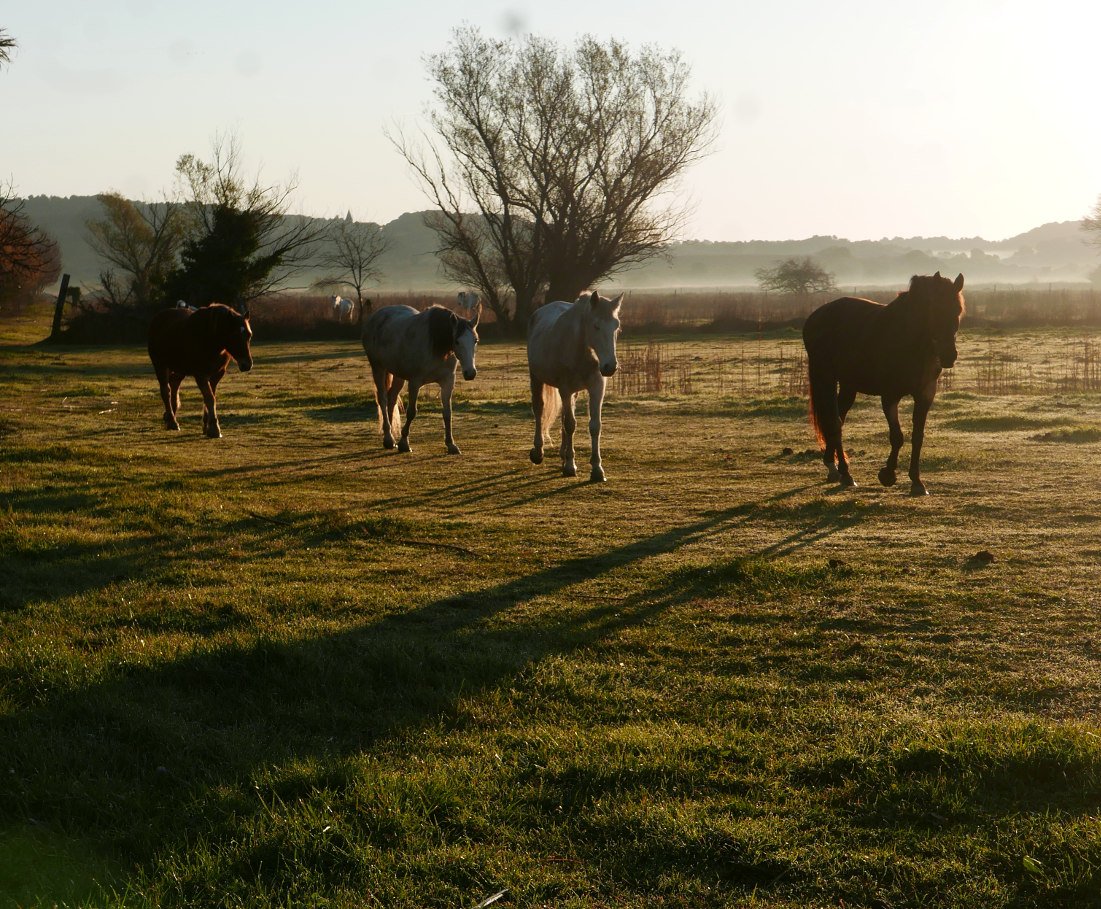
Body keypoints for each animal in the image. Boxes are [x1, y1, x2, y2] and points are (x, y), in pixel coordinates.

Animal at [148, 302, 253, 439]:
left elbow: (210, 397)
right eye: (234, 335)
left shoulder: (216, 375)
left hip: (180, 370)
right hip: (160, 365)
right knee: (166, 391)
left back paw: (170, 415)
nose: (247, 365)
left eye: (249, 335)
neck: (209, 340)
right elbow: (210, 398)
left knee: (174, 384)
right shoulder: (201, 375)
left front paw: (206, 426)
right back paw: (172, 421)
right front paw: (214, 429)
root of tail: (157, 318)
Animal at [362, 303, 481, 454]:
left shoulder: (447, 382)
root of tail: (376, 316)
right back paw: (388, 439)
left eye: (475, 340)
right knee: (382, 400)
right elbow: (412, 412)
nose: (470, 373)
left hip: (398, 374)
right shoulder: (415, 382)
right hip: (378, 368)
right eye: (457, 341)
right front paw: (404, 443)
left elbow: (447, 413)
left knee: (391, 399)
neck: (436, 346)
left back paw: (391, 437)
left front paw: (451, 444)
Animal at [527, 290, 623, 482]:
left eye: (616, 326)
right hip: (536, 378)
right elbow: (570, 424)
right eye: (596, 326)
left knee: (564, 414)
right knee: (539, 410)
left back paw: (563, 454)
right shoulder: (565, 389)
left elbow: (595, 426)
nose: (610, 367)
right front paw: (570, 467)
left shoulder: (596, 388)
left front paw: (597, 469)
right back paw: (538, 452)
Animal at [802, 272, 965, 495]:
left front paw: (917, 482)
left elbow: (917, 437)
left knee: (838, 420)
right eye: (936, 309)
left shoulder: (925, 395)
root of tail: (815, 317)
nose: (949, 355)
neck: (909, 342)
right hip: (825, 377)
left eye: (958, 311)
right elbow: (897, 437)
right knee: (834, 422)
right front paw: (888, 475)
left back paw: (834, 467)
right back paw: (845, 473)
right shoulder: (890, 396)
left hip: (848, 385)